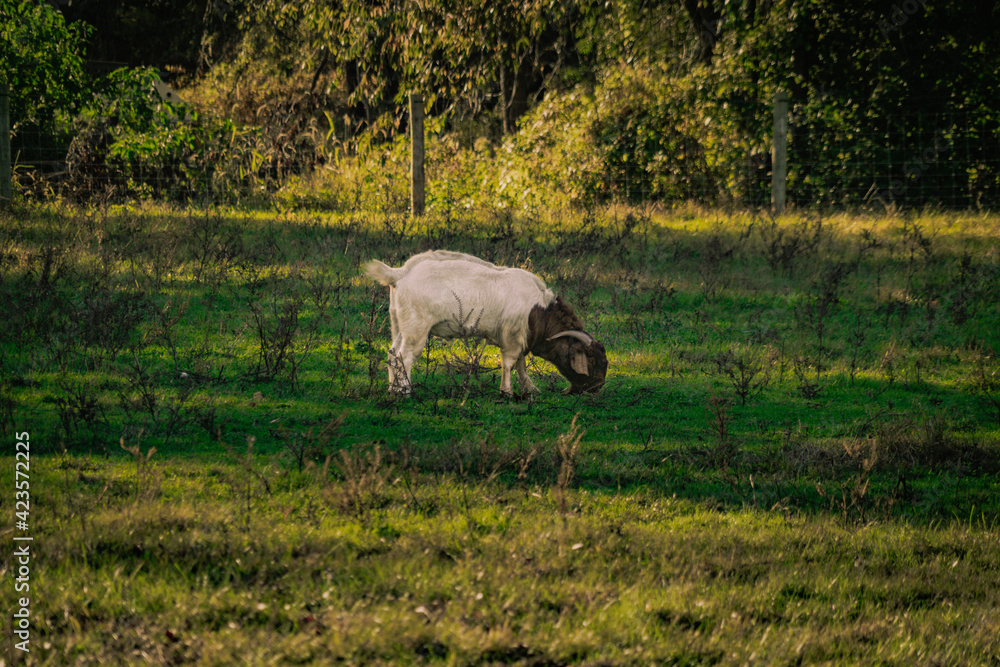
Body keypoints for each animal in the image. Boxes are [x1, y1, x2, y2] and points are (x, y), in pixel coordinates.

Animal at [363, 250, 608, 395]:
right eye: (591, 359)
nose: (597, 387)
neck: (539, 310)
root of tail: (400, 273)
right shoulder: (512, 335)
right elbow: (509, 362)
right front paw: (507, 392)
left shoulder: (521, 337)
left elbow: (521, 364)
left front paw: (530, 389)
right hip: (416, 327)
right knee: (404, 356)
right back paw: (404, 390)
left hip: (399, 324)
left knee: (392, 353)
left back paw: (392, 389)